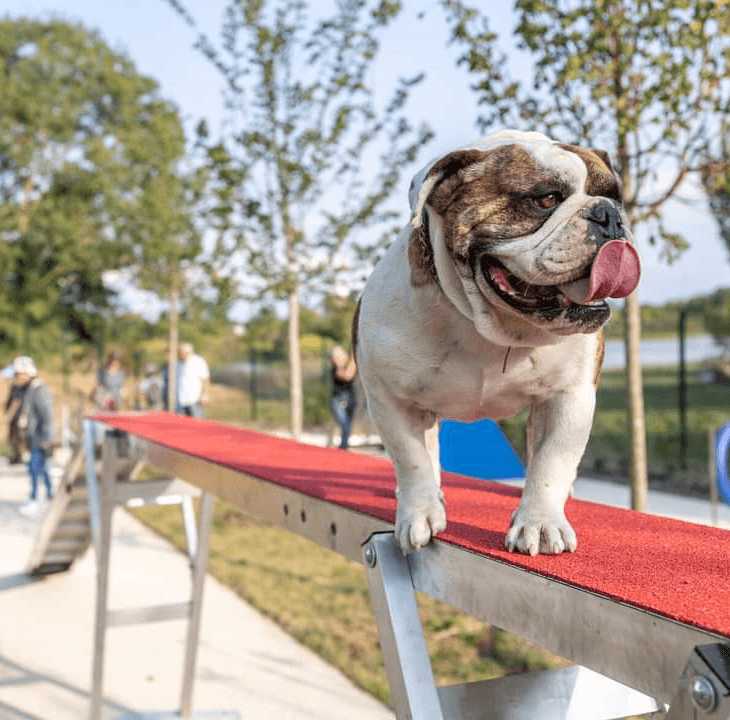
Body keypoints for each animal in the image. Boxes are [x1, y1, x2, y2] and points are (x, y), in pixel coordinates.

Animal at [352, 129, 636, 556]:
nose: (610, 215)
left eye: (615, 196)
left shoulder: (570, 395)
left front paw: (540, 522)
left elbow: (552, 460)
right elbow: (411, 458)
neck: (487, 324)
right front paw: (419, 513)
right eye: (545, 199)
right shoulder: (390, 400)